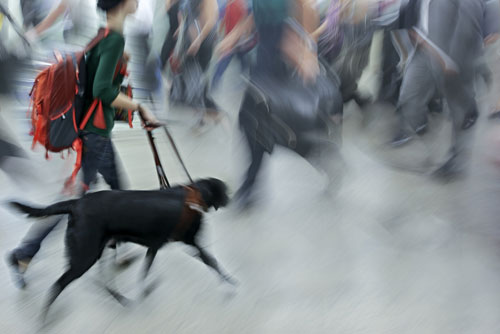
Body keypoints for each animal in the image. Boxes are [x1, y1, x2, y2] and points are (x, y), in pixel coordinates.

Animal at [9, 179, 232, 320]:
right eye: (225, 191)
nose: (230, 200)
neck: (193, 196)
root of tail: (76, 203)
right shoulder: (160, 245)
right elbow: (146, 273)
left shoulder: (180, 245)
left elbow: (210, 261)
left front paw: (228, 281)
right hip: (86, 256)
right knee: (59, 285)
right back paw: (43, 317)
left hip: (101, 249)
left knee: (102, 281)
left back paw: (122, 299)